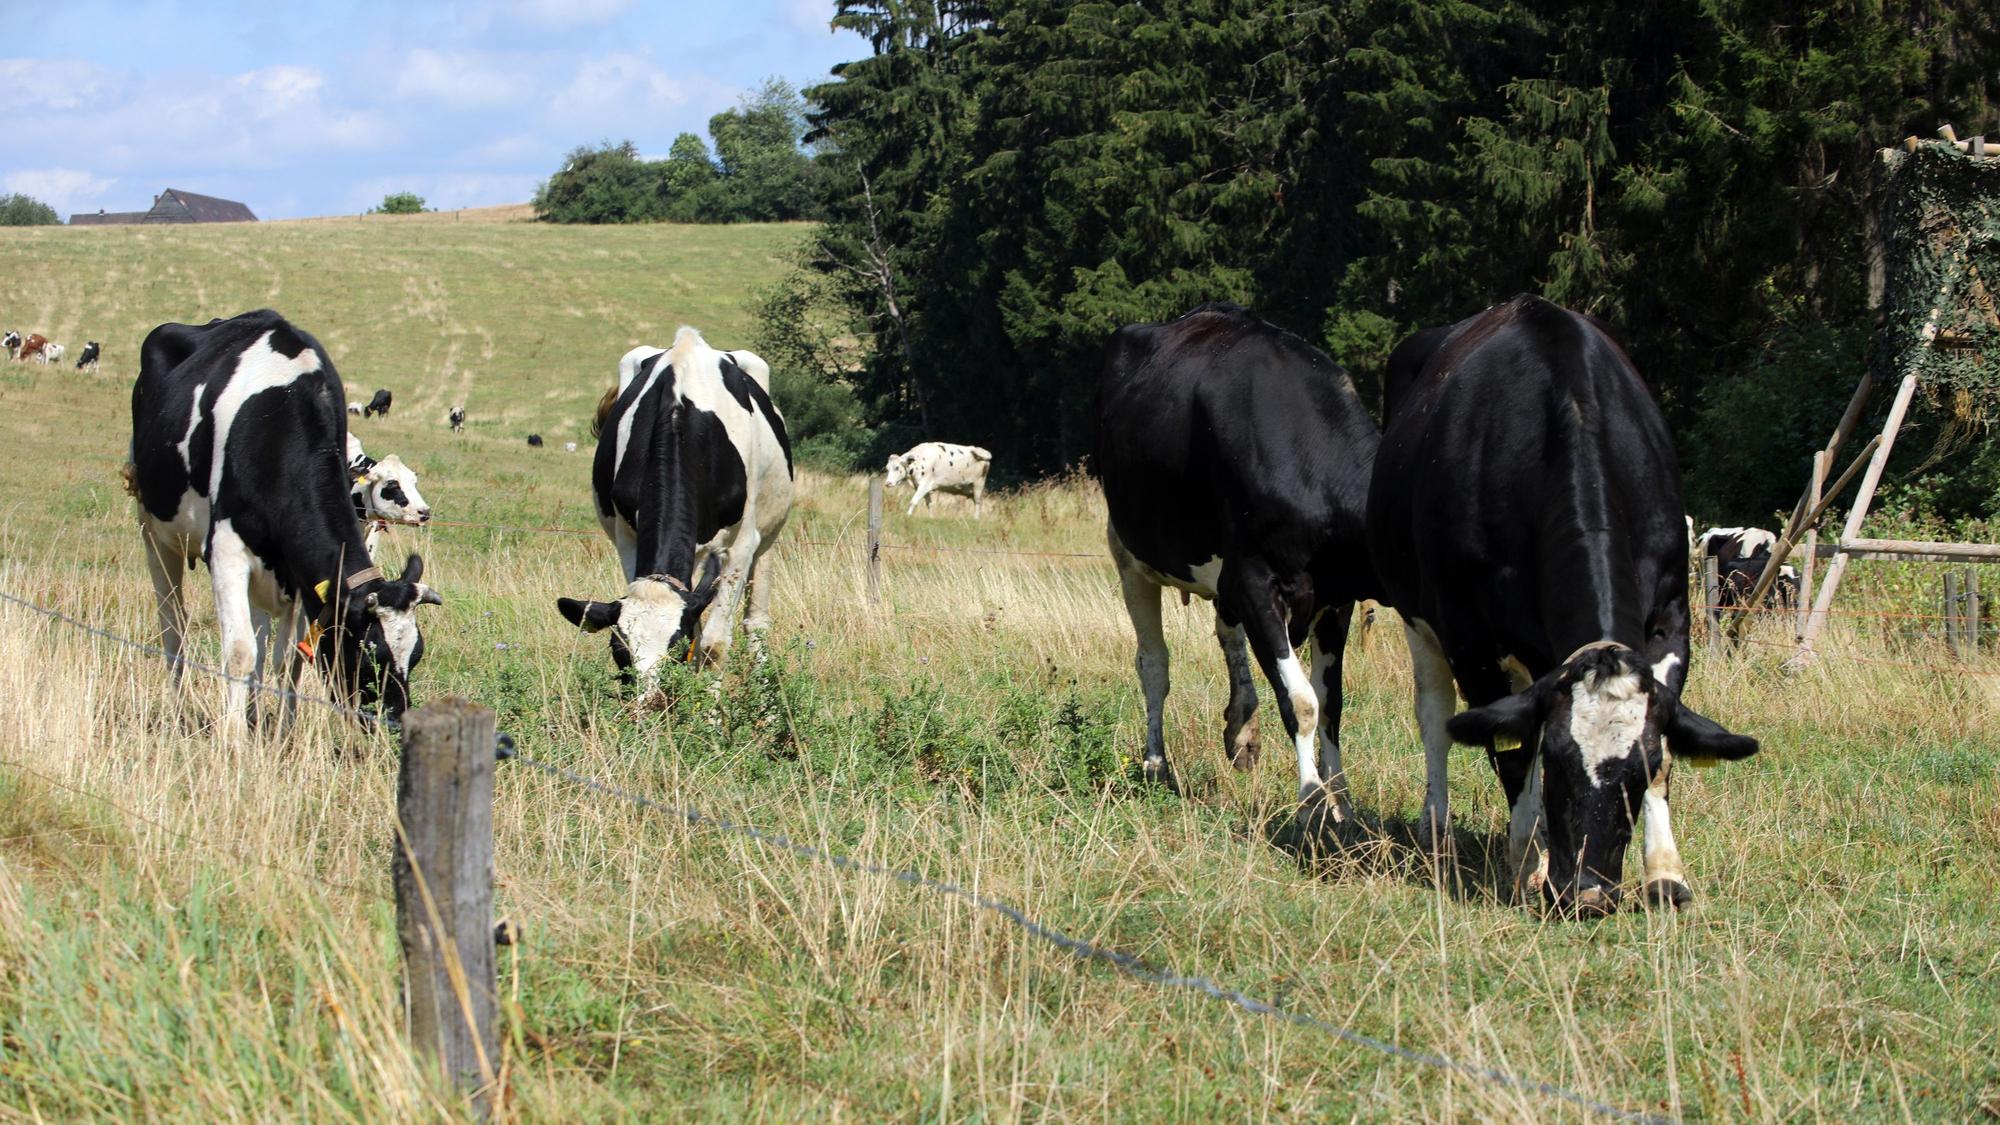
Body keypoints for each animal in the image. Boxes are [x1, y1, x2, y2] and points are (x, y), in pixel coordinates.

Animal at [127, 309, 442, 735]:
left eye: (416, 654)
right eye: (368, 653)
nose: (393, 722)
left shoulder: (301, 574)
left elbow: (287, 658)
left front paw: (283, 732)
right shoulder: (225, 551)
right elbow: (240, 652)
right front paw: (233, 739)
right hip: (155, 531)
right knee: (173, 624)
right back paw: (178, 709)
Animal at [557, 326, 793, 686]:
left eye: (676, 650)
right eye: (619, 651)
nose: (652, 700)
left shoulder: (739, 546)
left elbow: (712, 647)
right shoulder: (628, 537)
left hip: (767, 533)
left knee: (756, 620)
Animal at [1095, 303, 1381, 825]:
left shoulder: (1336, 599)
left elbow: (1331, 702)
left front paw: (1343, 804)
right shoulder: (1253, 581)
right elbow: (1301, 702)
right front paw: (1311, 800)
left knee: (1227, 633)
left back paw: (1242, 729)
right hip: (1129, 555)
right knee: (1153, 664)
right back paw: (1156, 765)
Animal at [1367, 295, 1758, 916]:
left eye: (1639, 772)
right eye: (1556, 761)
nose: (1589, 894)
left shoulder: (1672, 617)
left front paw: (1665, 874)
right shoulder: (1471, 638)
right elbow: (1510, 750)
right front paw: (1528, 865)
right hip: (1418, 619)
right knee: (1435, 717)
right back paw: (1440, 828)